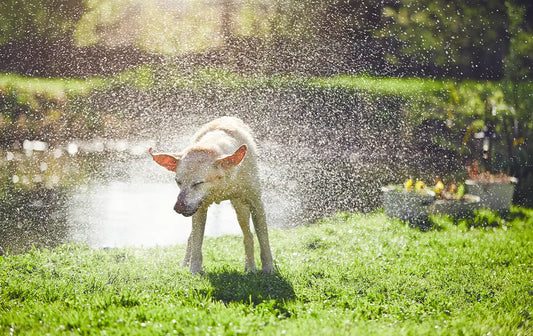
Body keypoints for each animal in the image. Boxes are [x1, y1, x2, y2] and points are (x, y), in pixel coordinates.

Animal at [150, 117, 274, 274]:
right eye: (178, 182)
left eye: (198, 183)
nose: (178, 207)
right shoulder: (199, 208)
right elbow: (197, 242)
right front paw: (194, 271)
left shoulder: (256, 202)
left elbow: (264, 239)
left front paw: (268, 269)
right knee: (191, 238)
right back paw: (185, 264)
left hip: (241, 207)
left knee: (248, 235)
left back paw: (251, 267)